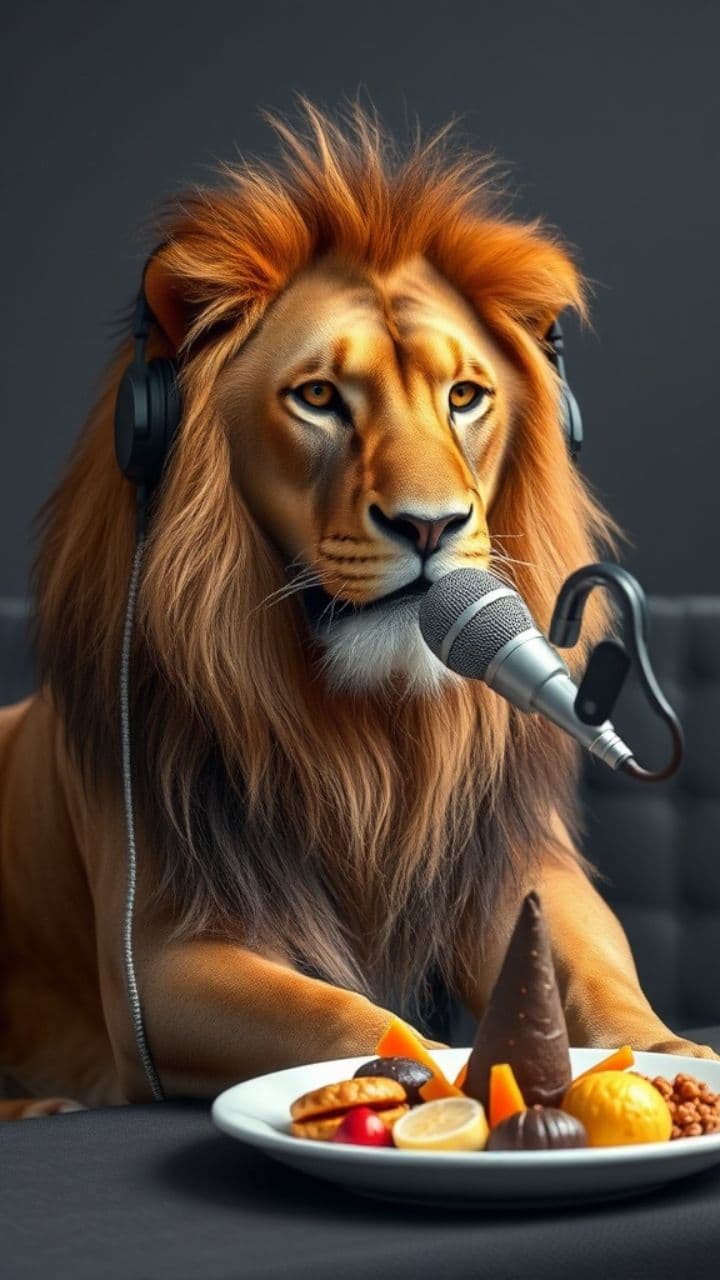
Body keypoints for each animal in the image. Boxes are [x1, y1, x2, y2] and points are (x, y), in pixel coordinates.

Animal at [1, 100, 714, 1120]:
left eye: (465, 396)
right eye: (318, 397)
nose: (430, 525)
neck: (367, 727)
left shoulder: (523, 868)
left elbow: (598, 979)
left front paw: (672, 1058)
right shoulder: (158, 959)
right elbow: (341, 1013)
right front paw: (442, 1076)